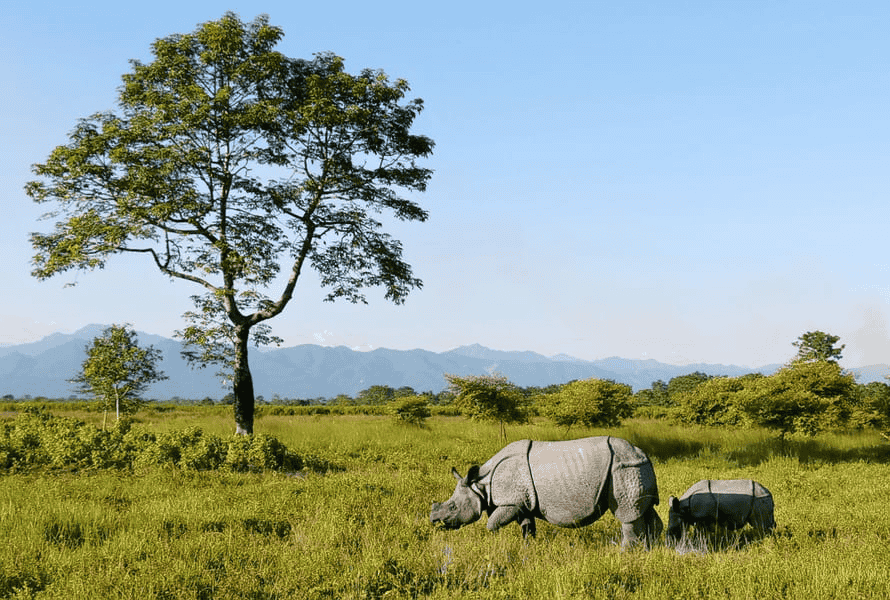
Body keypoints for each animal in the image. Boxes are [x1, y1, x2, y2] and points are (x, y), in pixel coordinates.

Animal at [430, 436, 662, 549]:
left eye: (453, 507)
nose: (433, 520)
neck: (480, 485)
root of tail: (643, 454)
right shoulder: (522, 503)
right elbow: (527, 526)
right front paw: (528, 548)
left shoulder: (510, 502)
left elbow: (492, 523)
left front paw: (495, 541)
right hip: (635, 468)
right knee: (644, 509)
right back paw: (651, 549)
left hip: (623, 468)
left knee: (627, 513)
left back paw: (624, 553)